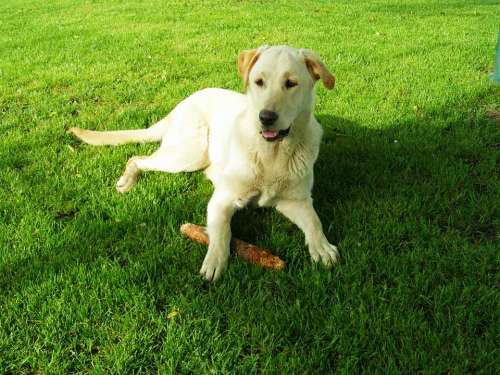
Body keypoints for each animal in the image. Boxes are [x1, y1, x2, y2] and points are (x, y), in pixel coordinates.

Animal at [69, 44, 340, 282]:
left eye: (291, 83)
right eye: (259, 82)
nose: (266, 117)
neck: (271, 154)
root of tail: (181, 104)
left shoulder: (297, 201)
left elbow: (314, 221)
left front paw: (322, 247)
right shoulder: (222, 199)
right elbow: (222, 232)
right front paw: (215, 261)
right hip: (190, 153)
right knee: (138, 158)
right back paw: (127, 181)